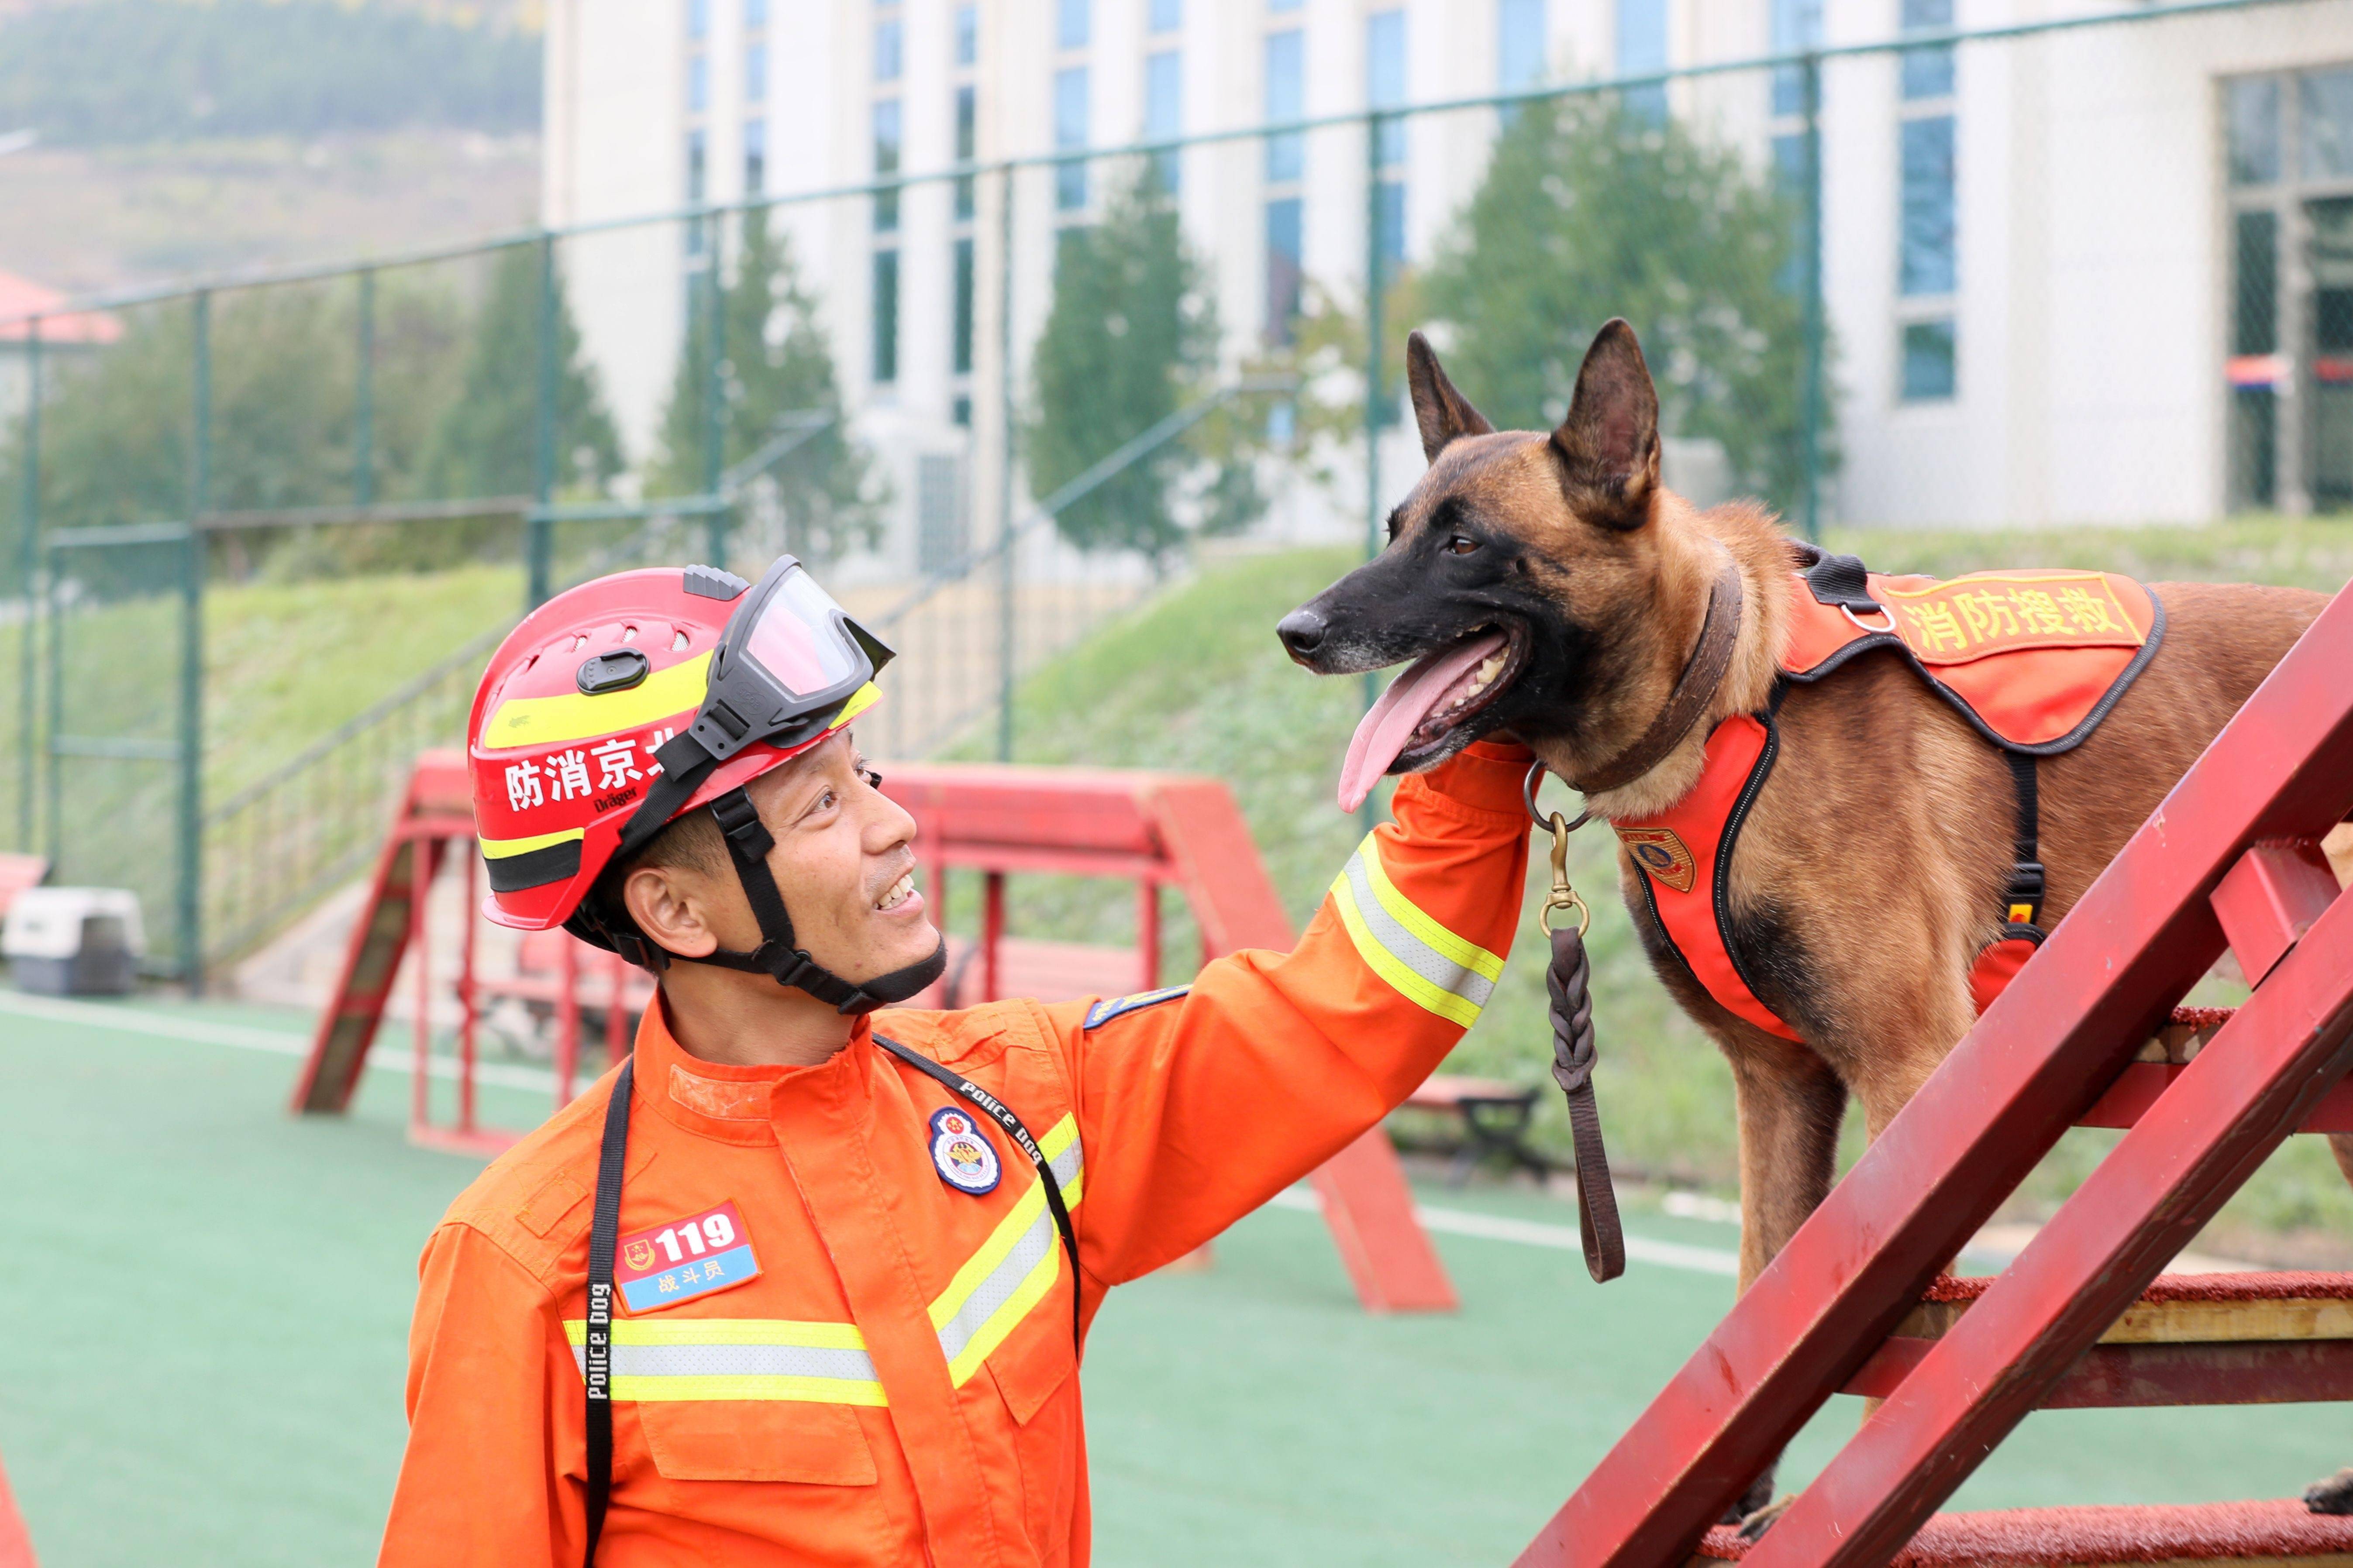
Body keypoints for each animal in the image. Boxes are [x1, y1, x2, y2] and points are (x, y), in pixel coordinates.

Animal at [1289, 315, 2353, 1523]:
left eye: (1465, 543)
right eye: (1396, 530)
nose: (1296, 630)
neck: (1725, 697)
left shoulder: (1910, 1068)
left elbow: (1880, 1306)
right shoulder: (1780, 1084)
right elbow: (1770, 1286)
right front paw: (1734, 1482)